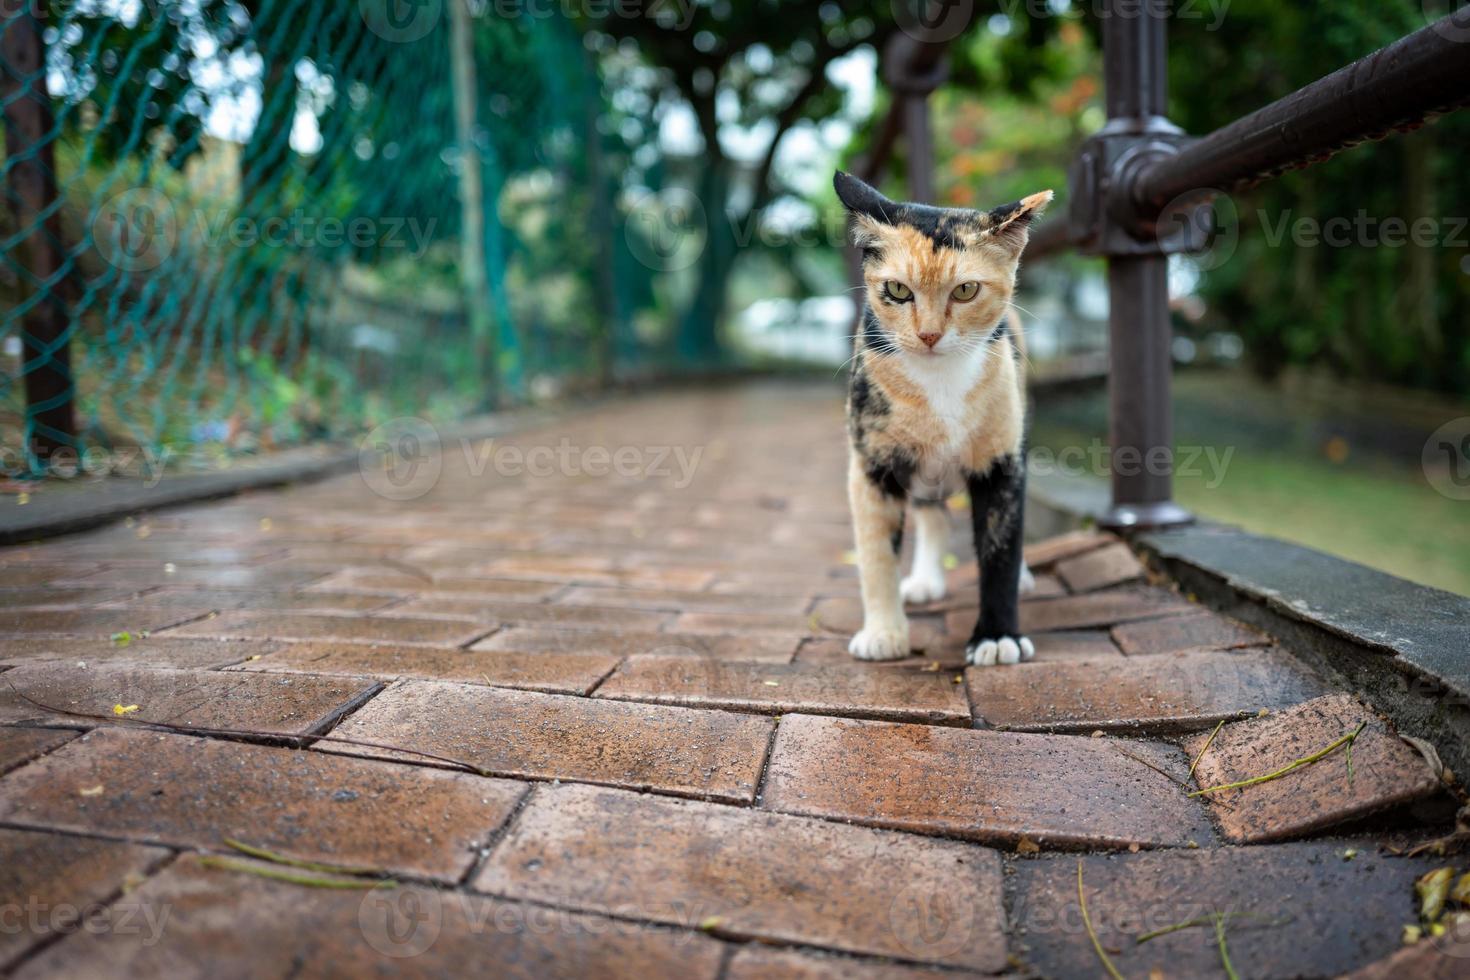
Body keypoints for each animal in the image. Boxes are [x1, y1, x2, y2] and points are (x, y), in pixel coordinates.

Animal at [834, 174, 1052, 667]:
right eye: (897, 290)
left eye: (966, 290)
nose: (929, 334)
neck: (939, 385)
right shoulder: (870, 462)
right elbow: (876, 551)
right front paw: (883, 634)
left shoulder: (1002, 458)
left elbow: (1000, 547)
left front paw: (998, 638)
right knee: (930, 512)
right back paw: (924, 581)